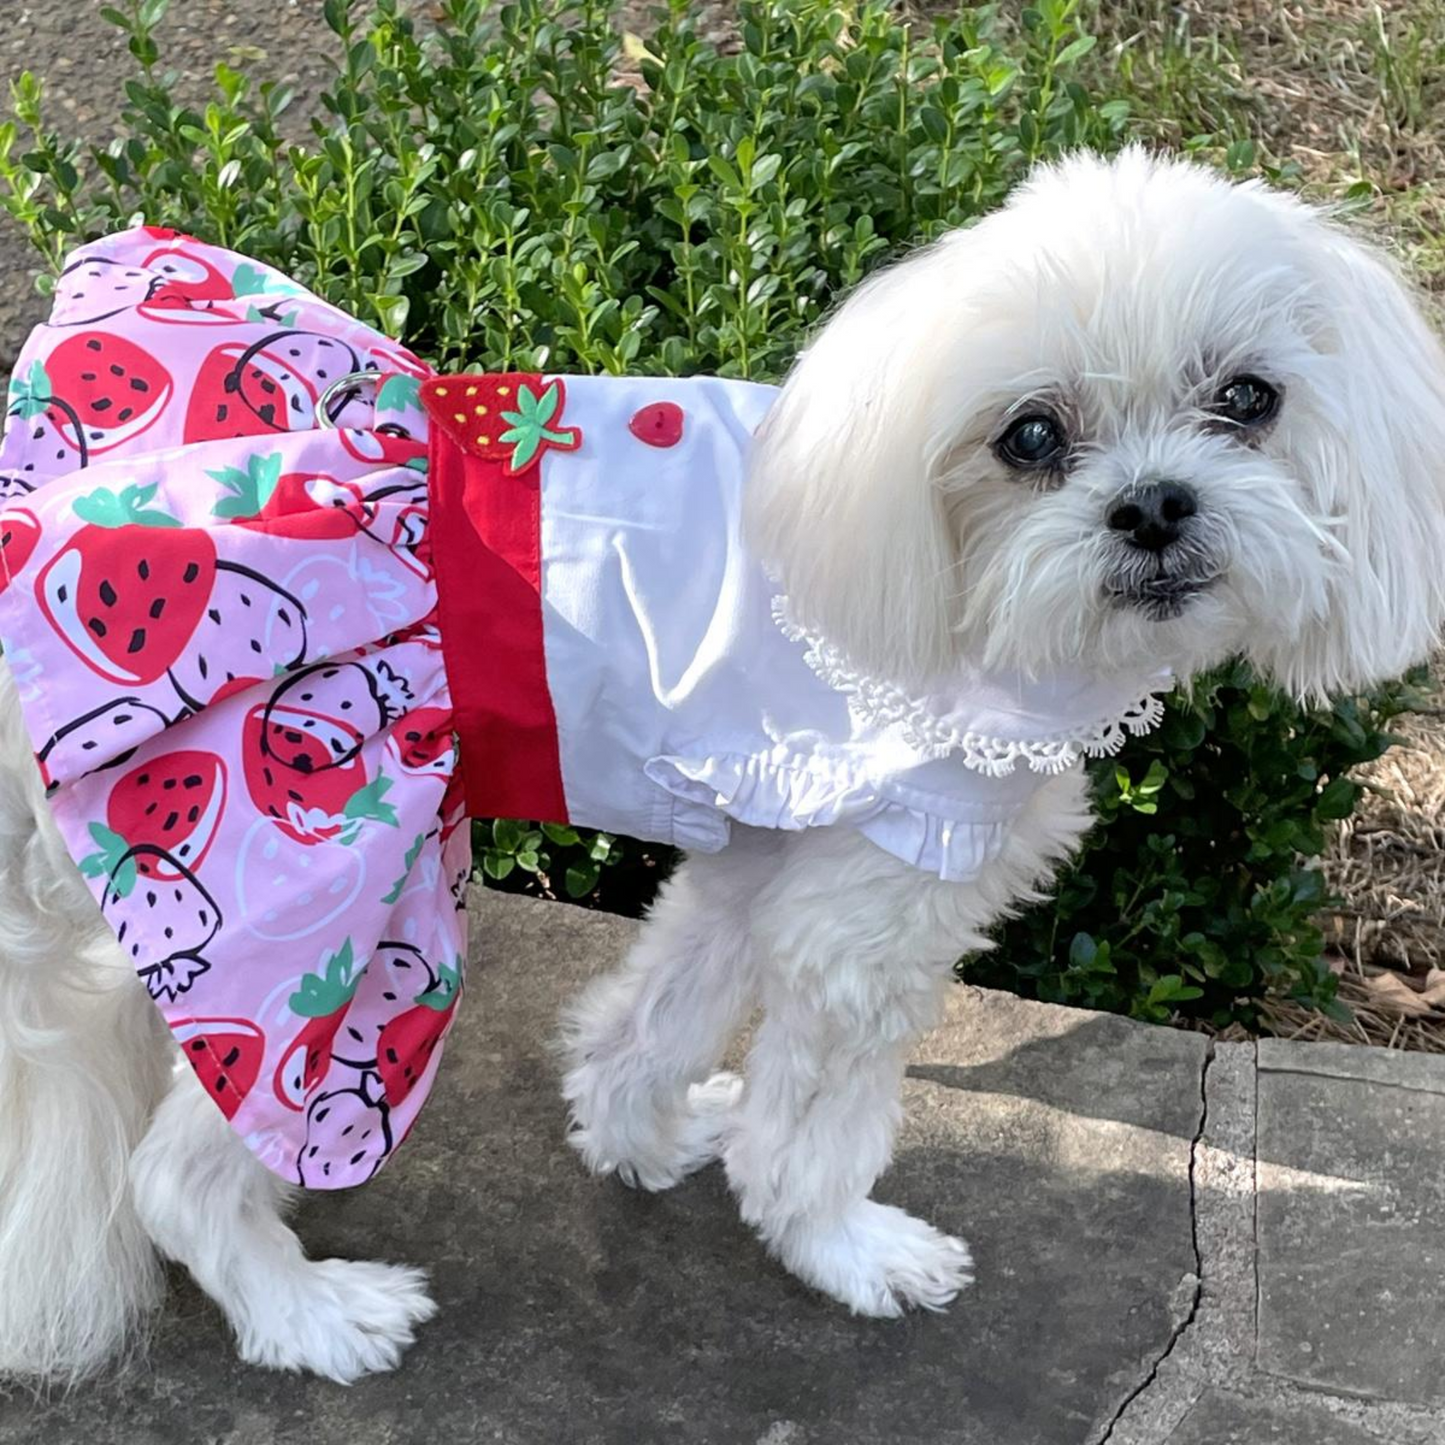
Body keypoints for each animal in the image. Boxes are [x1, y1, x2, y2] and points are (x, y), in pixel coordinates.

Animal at [8, 149, 1445, 1387]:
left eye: (1248, 398)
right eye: (1029, 436)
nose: (1152, 505)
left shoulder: (768, 854)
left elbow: (663, 1007)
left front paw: (633, 1136)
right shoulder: (873, 909)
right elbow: (809, 1124)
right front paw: (841, 1244)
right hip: (326, 921)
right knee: (182, 1170)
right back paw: (306, 1313)